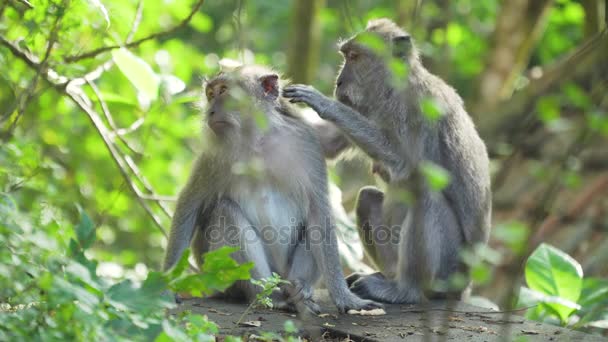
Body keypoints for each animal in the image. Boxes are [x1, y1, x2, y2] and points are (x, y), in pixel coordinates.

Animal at [162, 62, 380, 314]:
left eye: (223, 91)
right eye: (210, 94)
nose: (211, 112)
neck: (258, 140)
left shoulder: (307, 144)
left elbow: (319, 213)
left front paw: (345, 297)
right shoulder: (214, 156)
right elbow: (191, 203)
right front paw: (165, 286)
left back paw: (299, 289)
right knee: (225, 211)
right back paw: (268, 295)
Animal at [282, 18, 492, 304]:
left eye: (354, 57)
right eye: (346, 55)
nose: (338, 83)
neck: (393, 91)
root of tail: (465, 288)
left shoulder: (420, 108)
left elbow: (403, 163)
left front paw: (323, 102)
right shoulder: (368, 107)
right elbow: (323, 143)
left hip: (448, 274)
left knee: (425, 196)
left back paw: (405, 290)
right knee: (367, 196)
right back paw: (386, 277)